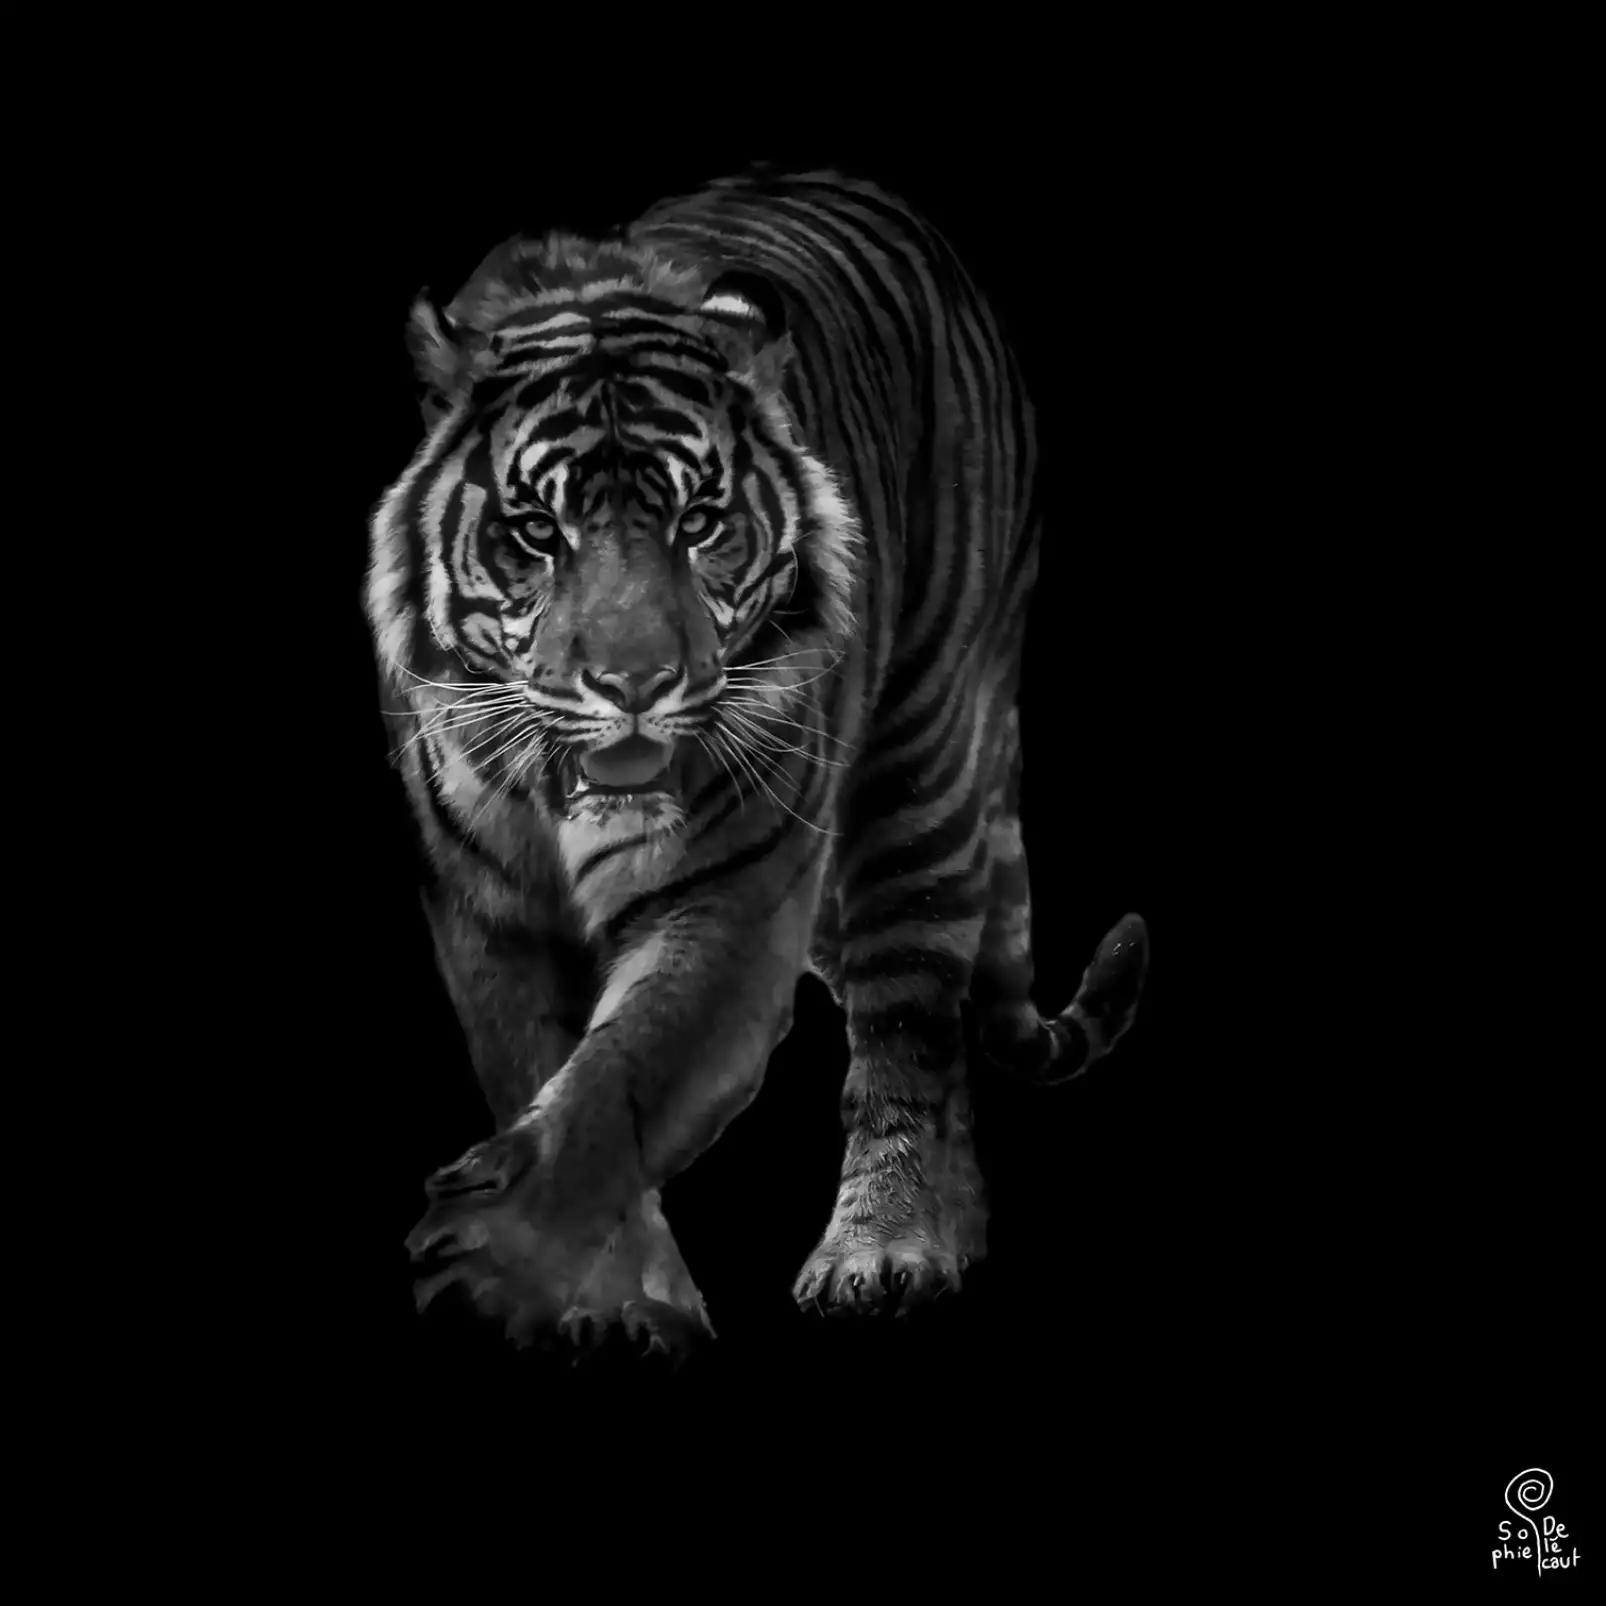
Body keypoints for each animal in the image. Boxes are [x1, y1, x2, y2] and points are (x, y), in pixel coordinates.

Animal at [366, 167, 1149, 1357]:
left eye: (699, 522)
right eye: (537, 530)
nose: (634, 682)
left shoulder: (729, 896)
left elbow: (624, 1081)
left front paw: (489, 1257)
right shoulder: (486, 910)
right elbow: (546, 1073)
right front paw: (616, 1306)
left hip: (919, 772)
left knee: (908, 1024)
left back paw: (890, 1249)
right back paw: (957, 1232)